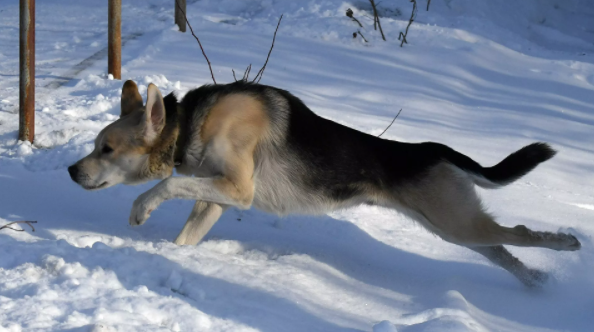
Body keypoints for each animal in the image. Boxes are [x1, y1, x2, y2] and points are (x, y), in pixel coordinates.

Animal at [68, 80, 580, 286]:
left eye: (106, 149)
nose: (72, 171)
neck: (191, 121)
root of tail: (435, 149)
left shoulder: (237, 190)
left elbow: (166, 187)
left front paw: (140, 209)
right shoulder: (216, 198)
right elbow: (186, 233)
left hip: (458, 225)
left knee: (521, 234)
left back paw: (566, 243)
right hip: (459, 227)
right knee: (505, 250)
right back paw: (538, 282)